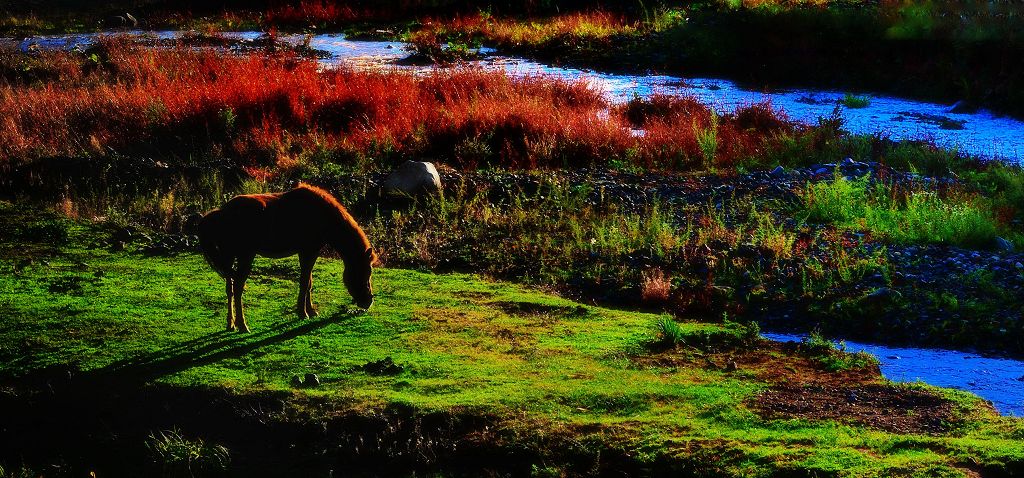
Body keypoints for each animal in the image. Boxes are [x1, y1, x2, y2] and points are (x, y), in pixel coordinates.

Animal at [197, 183, 378, 333]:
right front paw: (303, 312)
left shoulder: (307, 252)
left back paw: (231, 324)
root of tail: (222, 212)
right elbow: (305, 282)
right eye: (365, 272)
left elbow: (309, 281)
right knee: (238, 287)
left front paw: (310, 310)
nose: (368, 302)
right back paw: (243, 325)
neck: (321, 214)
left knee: (230, 288)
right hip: (245, 257)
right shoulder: (309, 251)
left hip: (229, 257)